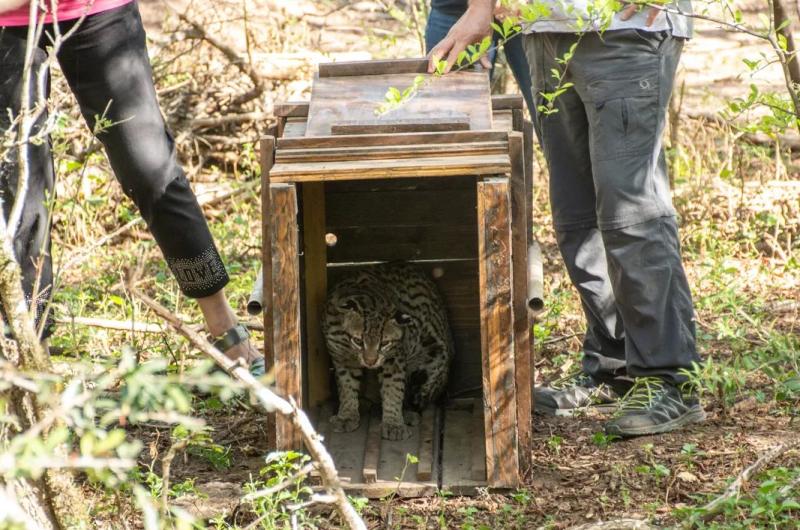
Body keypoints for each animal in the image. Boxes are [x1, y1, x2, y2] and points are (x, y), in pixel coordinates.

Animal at [322, 260, 454, 438]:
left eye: (384, 343)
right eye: (358, 341)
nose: (370, 362)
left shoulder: (395, 357)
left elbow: (394, 387)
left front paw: (393, 423)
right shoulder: (341, 355)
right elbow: (346, 384)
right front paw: (347, 415)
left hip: (435, 361)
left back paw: (407, 413)